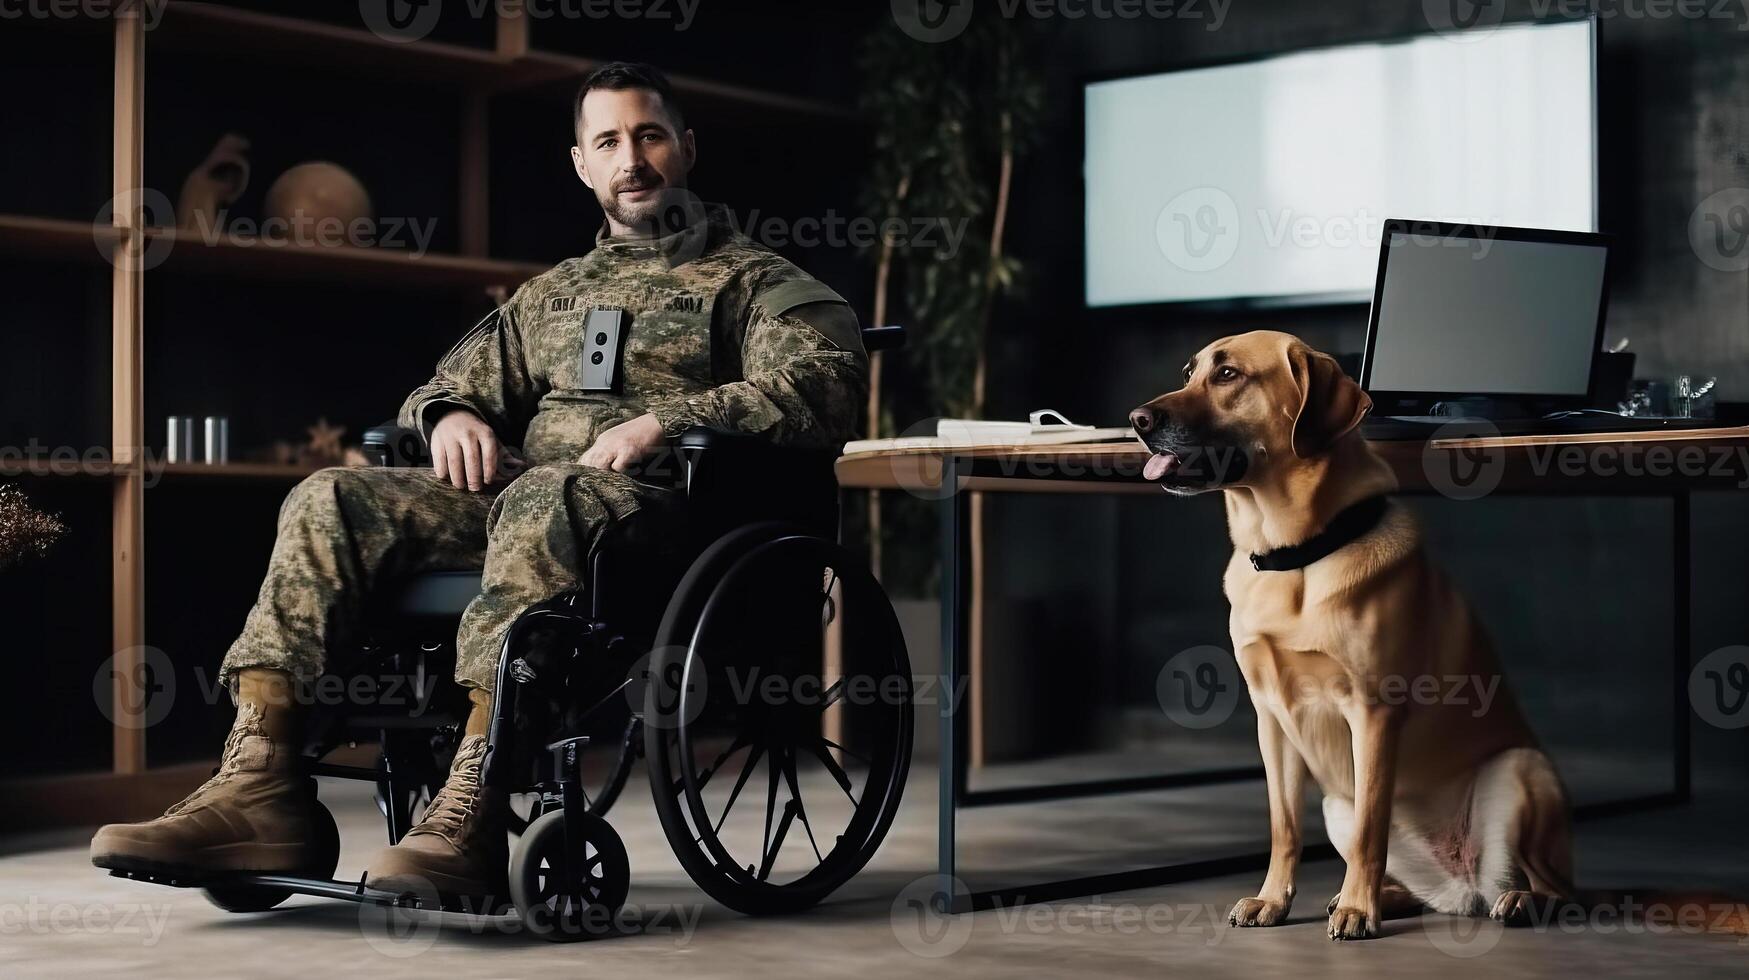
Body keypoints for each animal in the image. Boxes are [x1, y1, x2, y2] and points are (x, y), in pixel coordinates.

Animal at [1126, 330, 1581, 945]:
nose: (1136, 419)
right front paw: (1275, 900)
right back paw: (1379, 896)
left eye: (1227, 375)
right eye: (1189, 372)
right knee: (1415, 885)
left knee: (1557, 888)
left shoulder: (1372, 715)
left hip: (1521, 771)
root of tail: (1463, 887)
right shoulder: (1271, 720)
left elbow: (1372, 829)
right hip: (1335, 805)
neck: (1294, 556)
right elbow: (1283, 827)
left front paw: (1358, 912)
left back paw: (1514, 901)